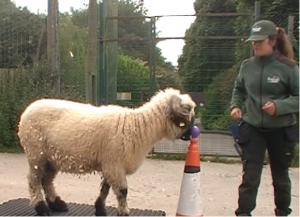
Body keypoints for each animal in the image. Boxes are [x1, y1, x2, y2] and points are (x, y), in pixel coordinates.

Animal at [18, 87, 197, 217]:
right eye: (185, 119)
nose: (192, 134)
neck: (137, 127)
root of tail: (26, 111)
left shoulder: (110, 164)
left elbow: (105, 189)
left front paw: (100, 210)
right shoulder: (114, 164)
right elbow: (122, 191)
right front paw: (124, 213)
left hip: (51, 158)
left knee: (46, 181)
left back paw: (57, 204)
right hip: (36, 153)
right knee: (33, 181)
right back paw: (42, 209)